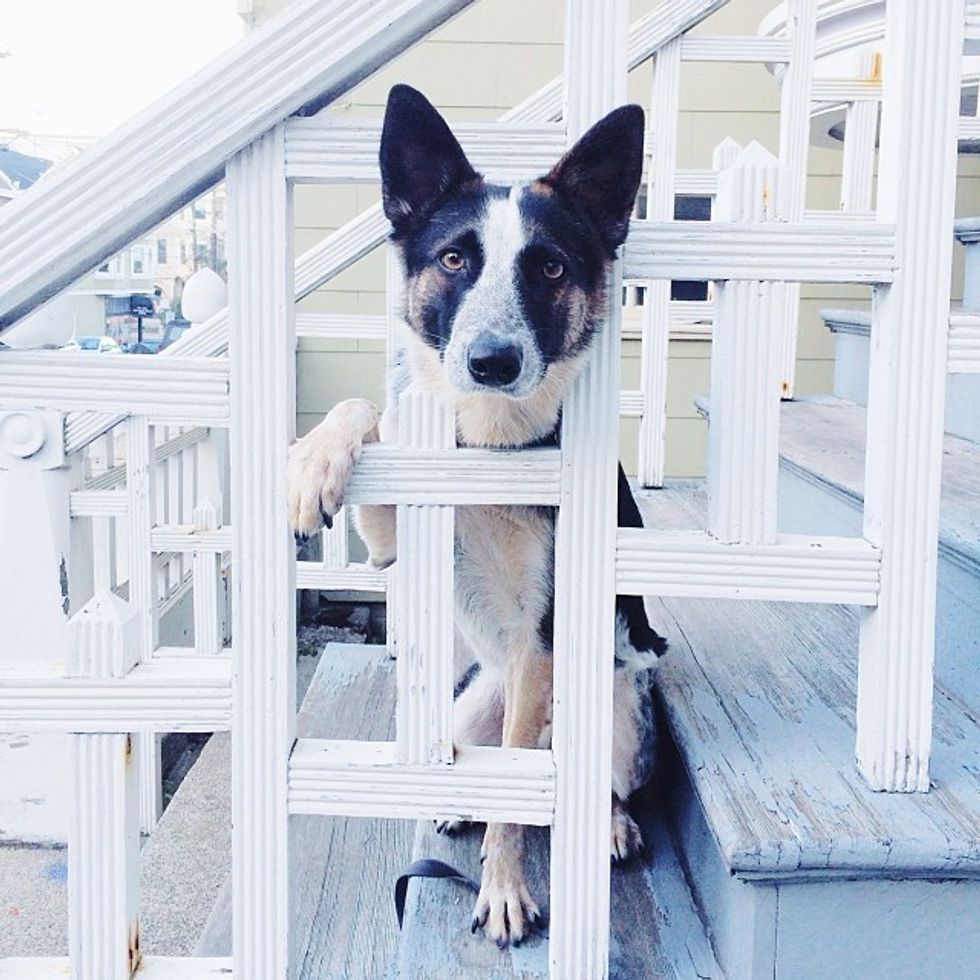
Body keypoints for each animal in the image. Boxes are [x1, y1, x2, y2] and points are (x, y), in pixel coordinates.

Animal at [287, 84, 666, 947]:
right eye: (455, 260)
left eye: (550, 266)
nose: (491, 363)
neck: (488, 446)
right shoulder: (394, 539)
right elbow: (368, 411)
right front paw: (315, 461)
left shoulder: (541, 641)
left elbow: (518, 805)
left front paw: (505, 890)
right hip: (468, 709)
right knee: (482, 760)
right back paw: (459, 801)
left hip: (617, 708)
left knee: (591, 778)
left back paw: (607, 823)